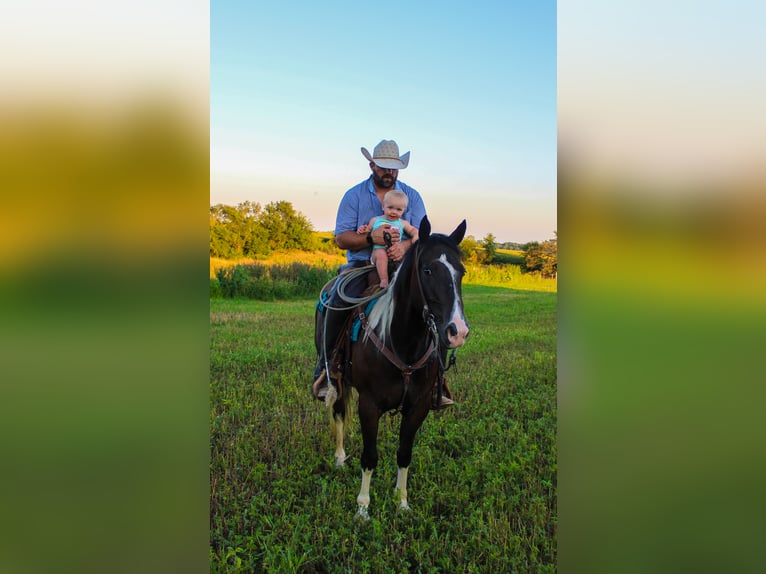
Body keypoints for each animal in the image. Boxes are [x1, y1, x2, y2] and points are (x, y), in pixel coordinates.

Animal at [322, 217, 468, 520]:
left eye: (461, 272)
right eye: (427, 270)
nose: (458, 331)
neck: (402, 342)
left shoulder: (418, 407)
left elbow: (404, 453)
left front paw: (401, 502)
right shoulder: (369, 405)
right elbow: (370, 456)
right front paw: (363, 508)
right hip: (338, 378)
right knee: (338, 410)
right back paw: (339, 458)